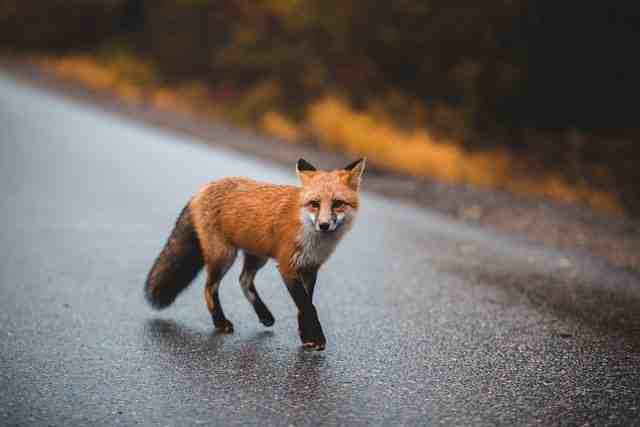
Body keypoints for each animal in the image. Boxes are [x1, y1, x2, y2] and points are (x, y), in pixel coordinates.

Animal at [144, 158, 364, 352]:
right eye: (315, 204)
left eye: (337, 203)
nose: (324, 225)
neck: (310, 235)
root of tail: (201, 190)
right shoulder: (287, 266)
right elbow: (307, 306)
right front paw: (316, 338)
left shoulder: (310, 267)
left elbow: (306, 305)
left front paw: (306, 336)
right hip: (224, 256)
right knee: (209, 288)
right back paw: (220, 322)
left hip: (257, 257)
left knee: (243, 280)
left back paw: (264, 315)